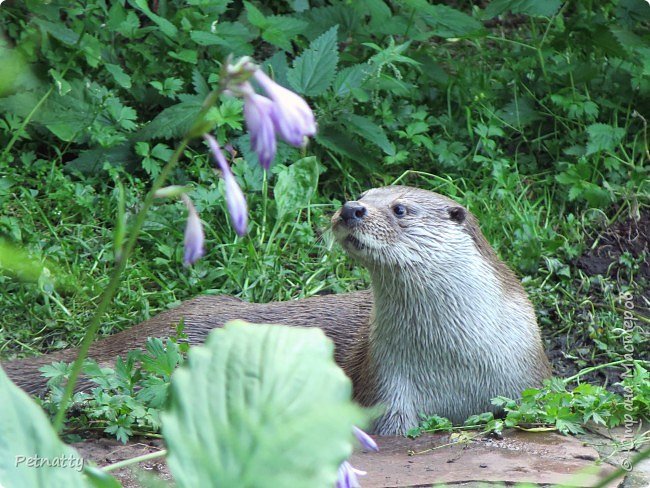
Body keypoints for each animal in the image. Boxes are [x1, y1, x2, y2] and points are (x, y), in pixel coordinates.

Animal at [0, 186, 548, 434]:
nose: (350, 209)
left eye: (399, 208)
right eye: (363, 195)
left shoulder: (528, 377)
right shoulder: (385, 383)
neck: (456, 356)